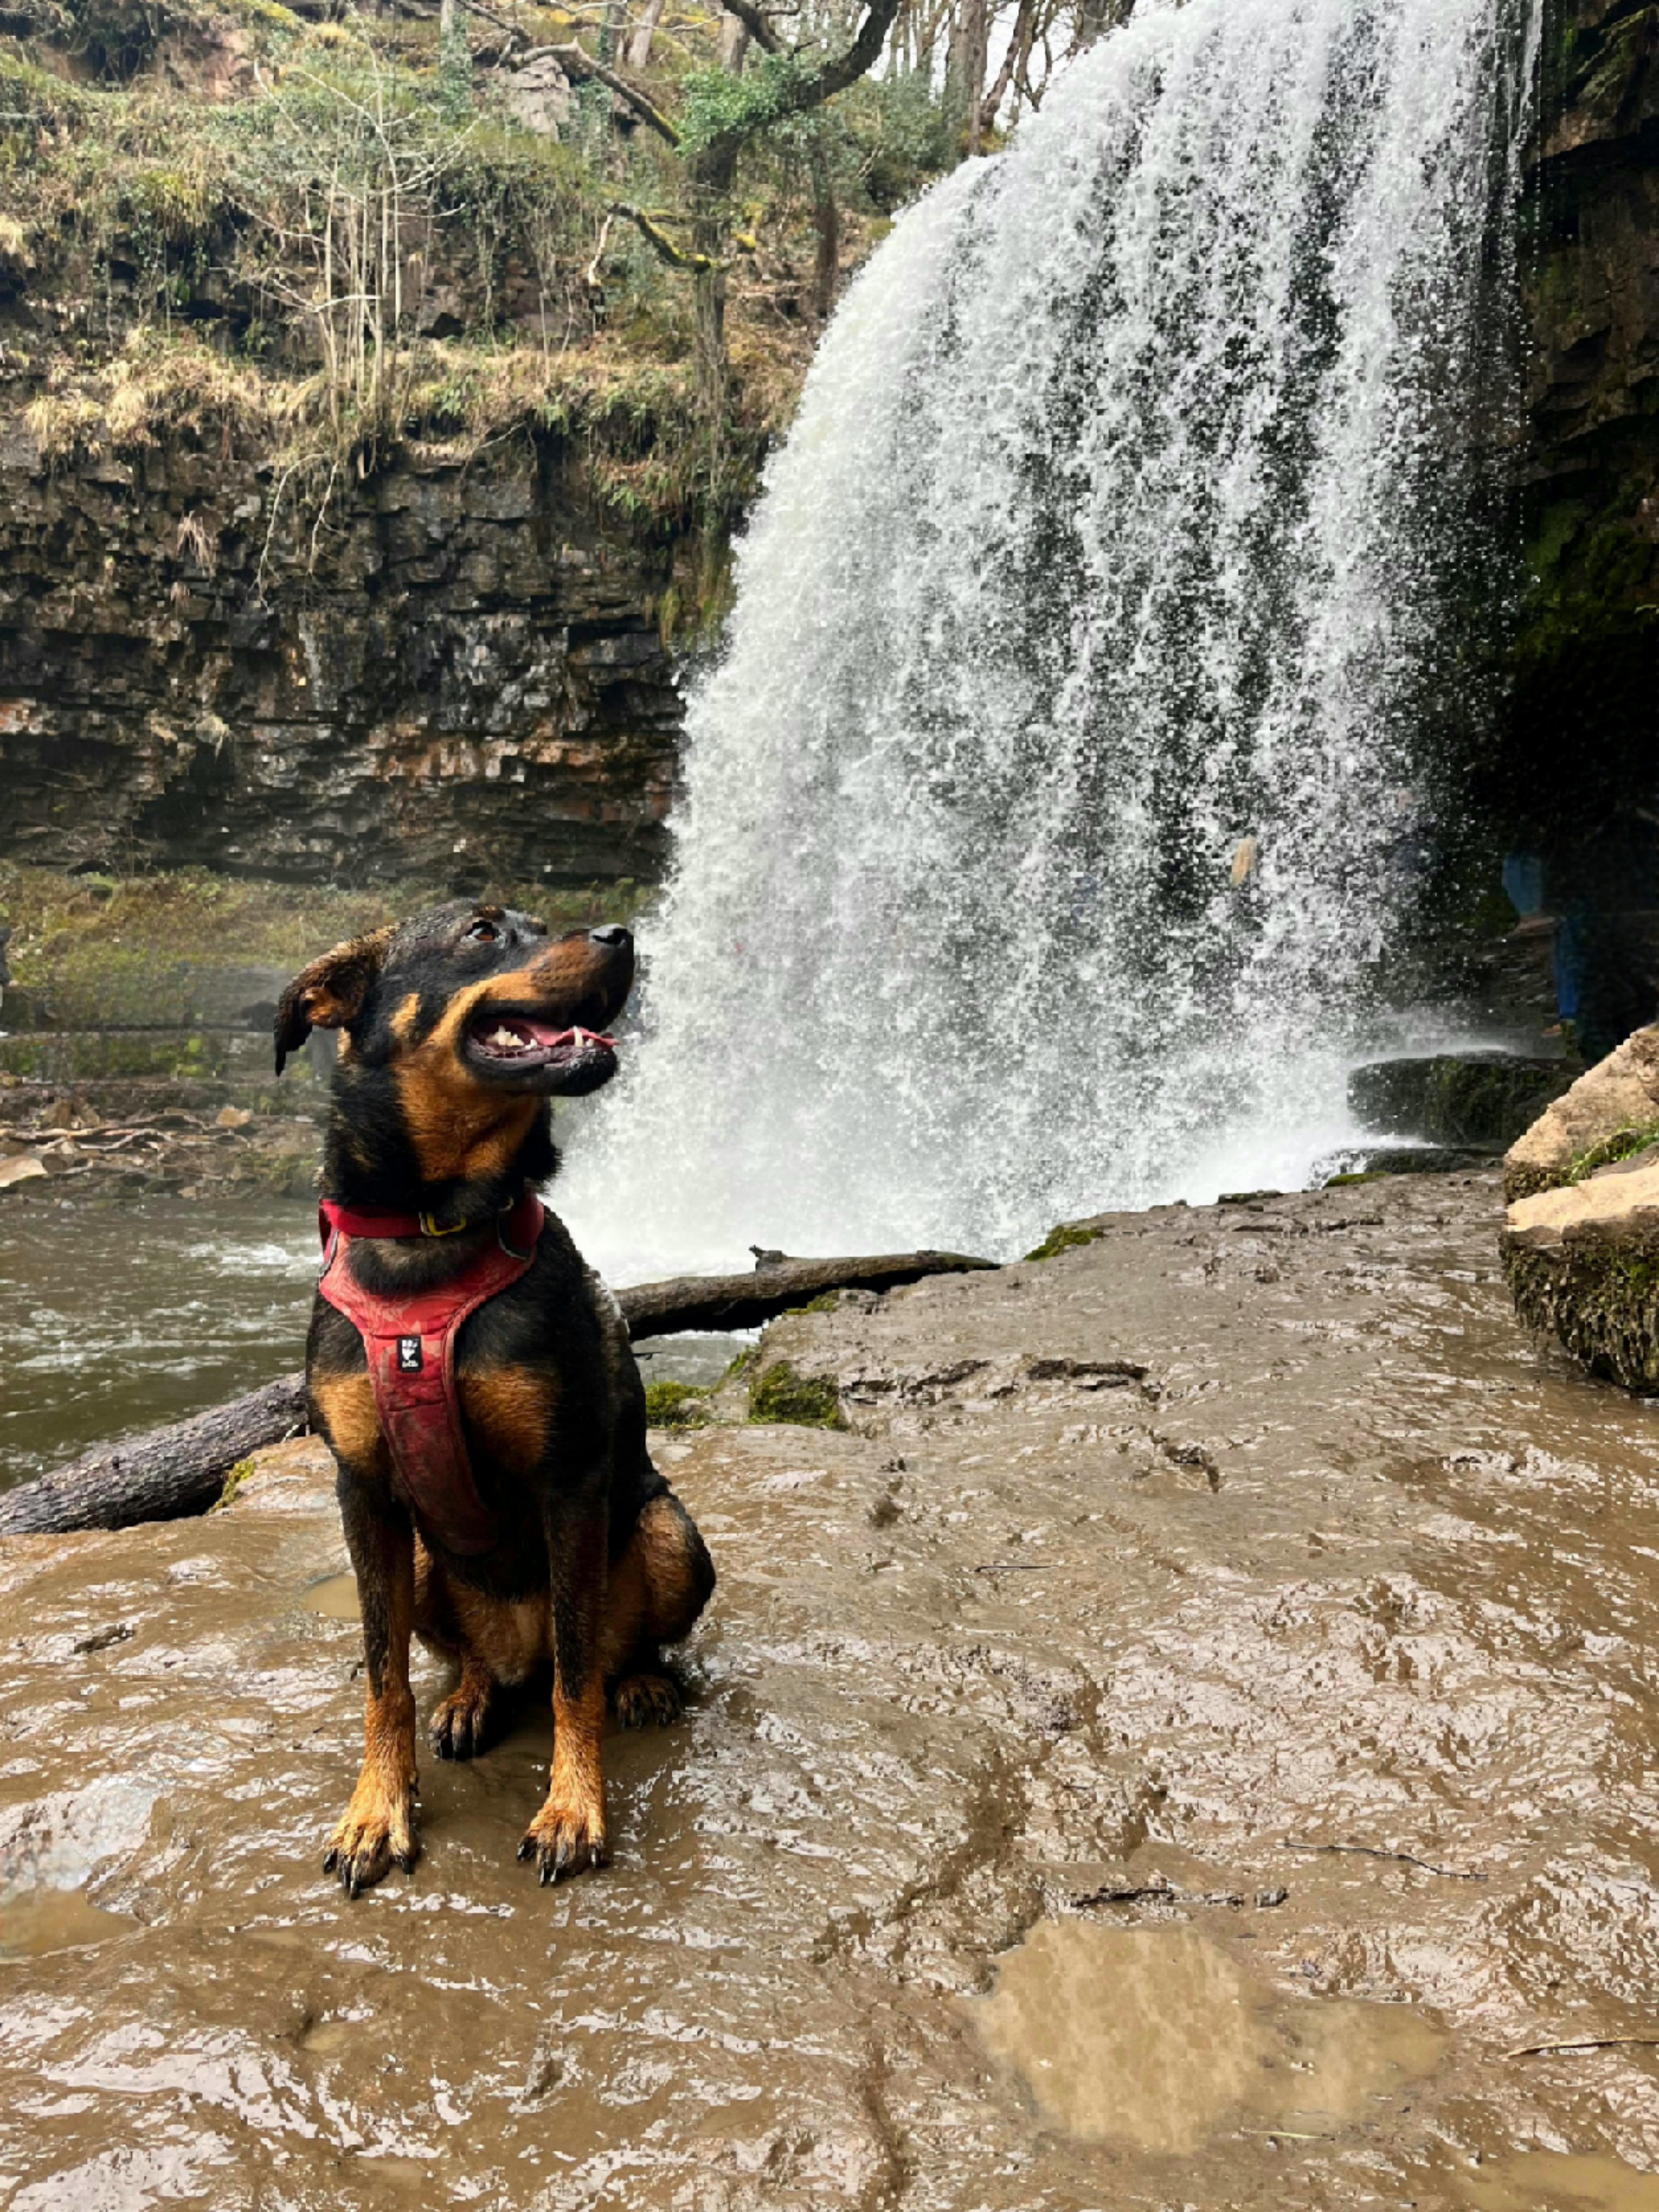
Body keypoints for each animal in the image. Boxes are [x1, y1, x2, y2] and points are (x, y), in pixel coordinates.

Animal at [275, 899, 715, 1896]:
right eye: (481, 931)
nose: (622, 936)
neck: (431, 1232)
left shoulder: (570, 1481)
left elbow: (576, 1678)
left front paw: (573, 1810)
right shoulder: (363, 1491)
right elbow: (383, 1677)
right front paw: (376, 1812)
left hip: (668, 1531)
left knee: (601, 1652)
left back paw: (641, 1682)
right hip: (425, 1561)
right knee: (474, 1661)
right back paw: (473, 1696)